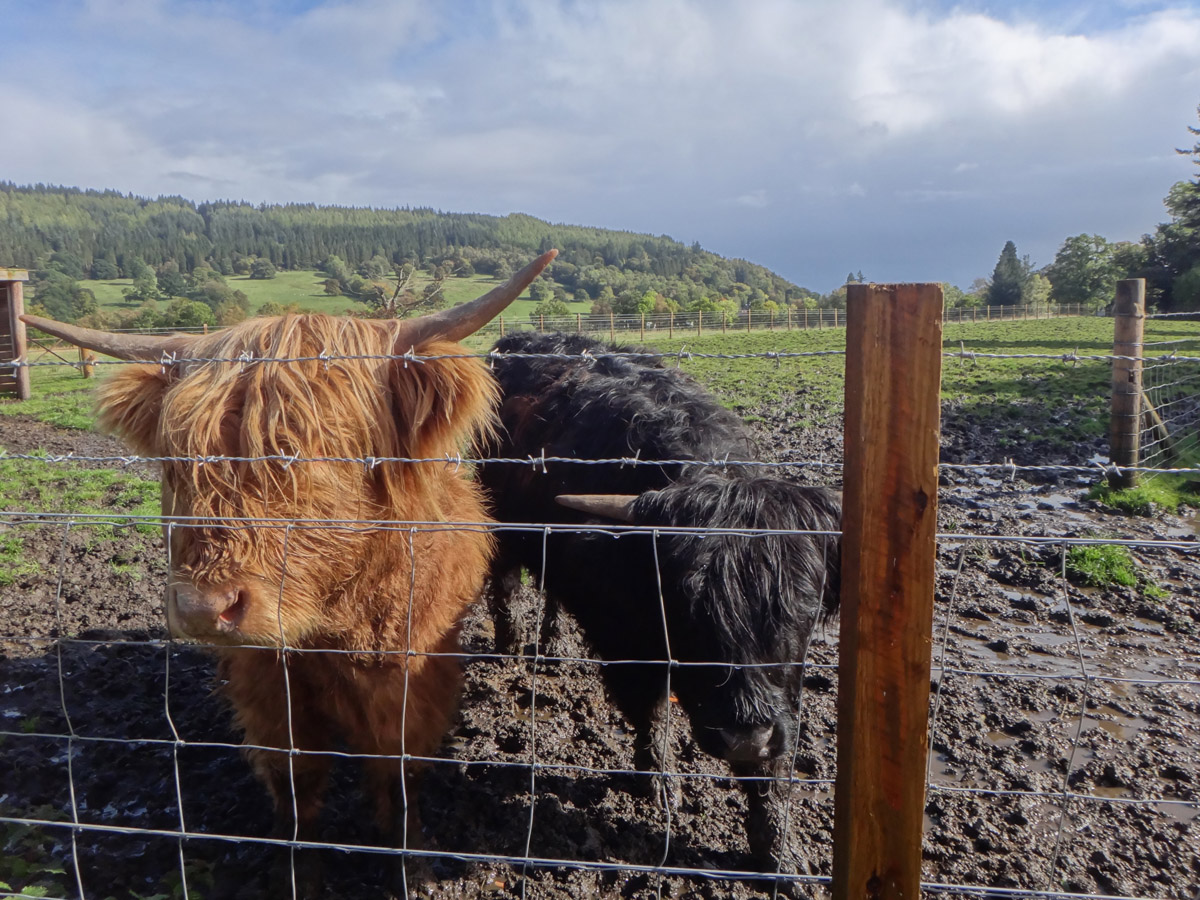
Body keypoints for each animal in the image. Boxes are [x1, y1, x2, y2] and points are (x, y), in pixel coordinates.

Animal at [480, 333, 844, 883]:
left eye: (799, 608)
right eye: (687, 610)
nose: (744, 737)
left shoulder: (780, 698)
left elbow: (774, 768)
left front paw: (781, 853)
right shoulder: (626, 642)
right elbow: (651, 712)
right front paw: (658, 784)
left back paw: (555, 645)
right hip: (499, 521)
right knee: (505, 583)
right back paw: (511, 647)